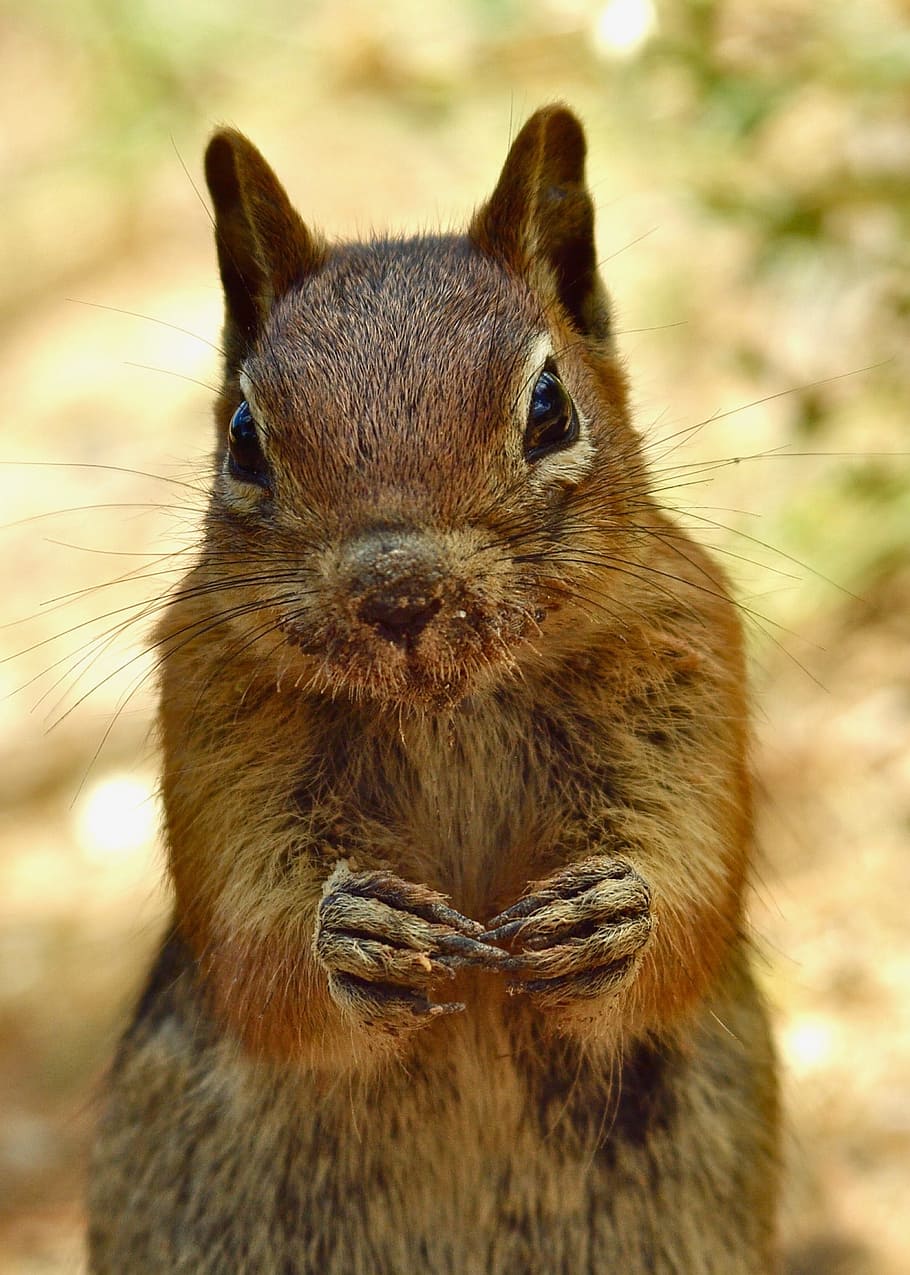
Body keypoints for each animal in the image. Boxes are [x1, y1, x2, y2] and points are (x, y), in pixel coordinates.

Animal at [87, 105, 780, 1273]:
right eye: (243, 438)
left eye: (548, 407)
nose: (397, 588)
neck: (448, 707)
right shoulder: (212, 704)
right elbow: (249, 934)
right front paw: (352, 936)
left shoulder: (689, 661)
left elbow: (690, 878)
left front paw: (614, 915)